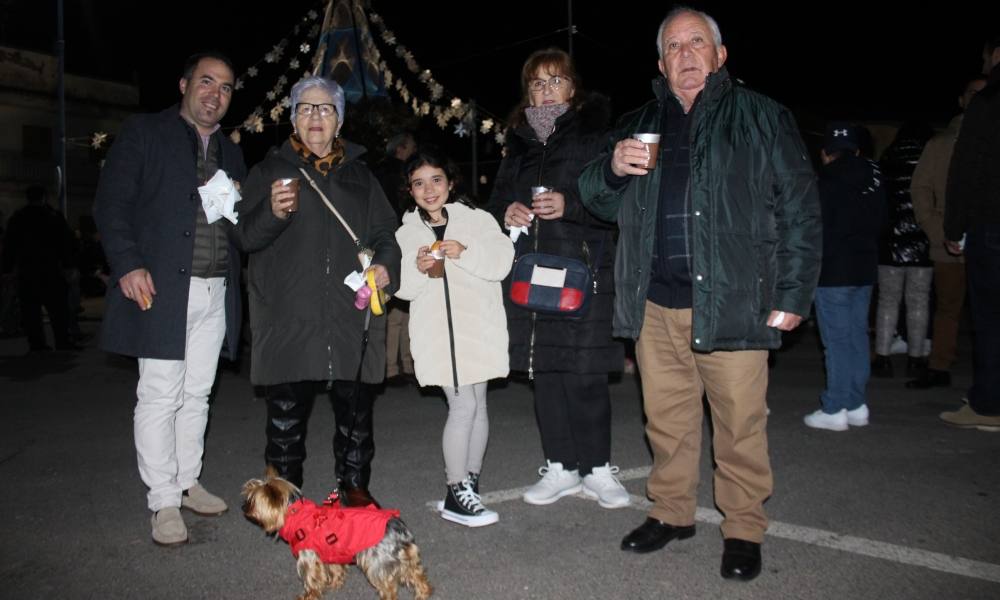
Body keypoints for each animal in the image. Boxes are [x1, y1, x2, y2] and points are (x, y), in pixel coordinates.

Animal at [243, 472, 434, 596]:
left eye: (252, 501)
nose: (243, 508)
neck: (295, 512)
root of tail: (400, 530)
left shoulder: (308, 557)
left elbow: (311, 579)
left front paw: (308, 596)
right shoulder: (331, 552)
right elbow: (335, 569)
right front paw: (335, 583)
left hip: (376, 563)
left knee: (388, 588)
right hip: (407, 558)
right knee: (418, 576)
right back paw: (423, 593)